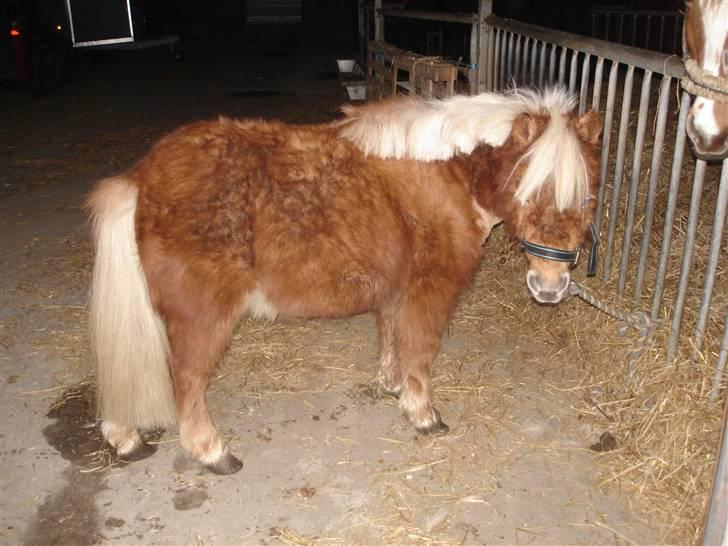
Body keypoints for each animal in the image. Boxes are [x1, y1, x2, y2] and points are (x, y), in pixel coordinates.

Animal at [86, 86, 604, 472]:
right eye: (529, 188)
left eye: (587, 195)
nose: (550, 286)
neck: (445, 174)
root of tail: (142, 178)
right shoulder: (431, 289)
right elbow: (420, 350)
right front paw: (422, 413)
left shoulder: (397, 287)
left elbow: (393, 337)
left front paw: (393, 386)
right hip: (203, 316)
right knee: (187, 380)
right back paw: (212, 452)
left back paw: (124, 436)